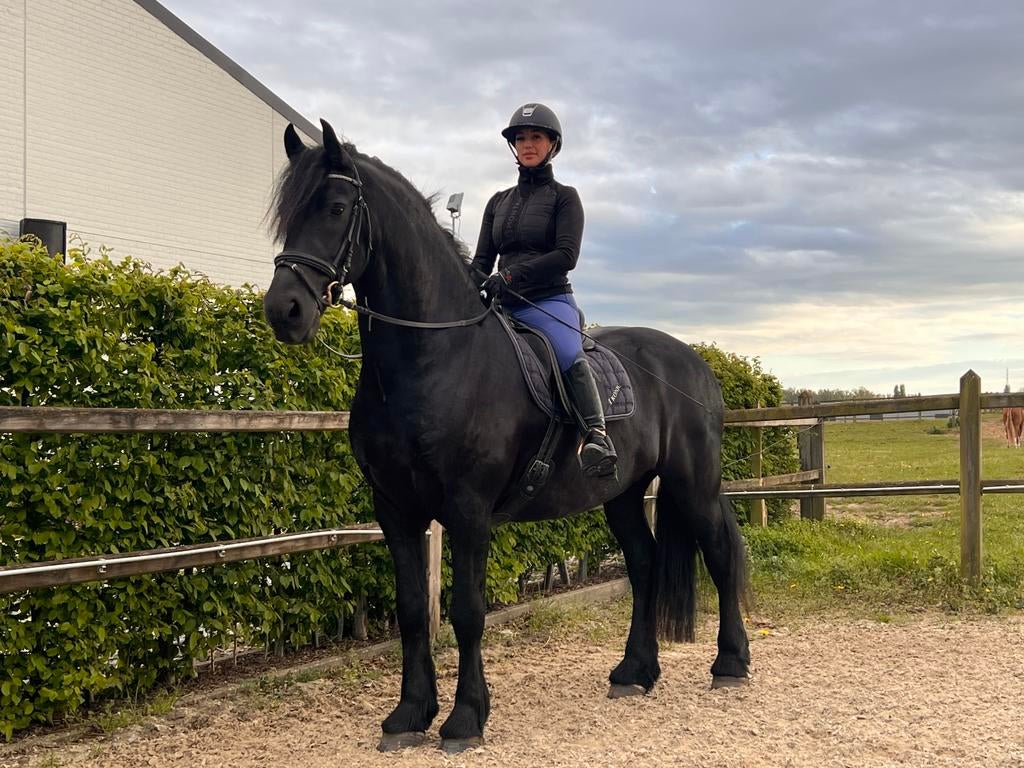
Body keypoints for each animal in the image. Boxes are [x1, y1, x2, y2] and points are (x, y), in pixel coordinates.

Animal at [262, 119, 750, 753]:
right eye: (286, 214)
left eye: (337, 208)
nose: (285, 310)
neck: (435, 358)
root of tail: (694, 363)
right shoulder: (395, 509)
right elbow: (413, 610)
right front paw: (408, 715)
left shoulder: (467, 510)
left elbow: (467, 612)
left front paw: (465, 718)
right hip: (620, 492)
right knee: (644, 564)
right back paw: (633, 671)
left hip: (693, 485)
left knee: (720, 553)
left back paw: (730, 665)